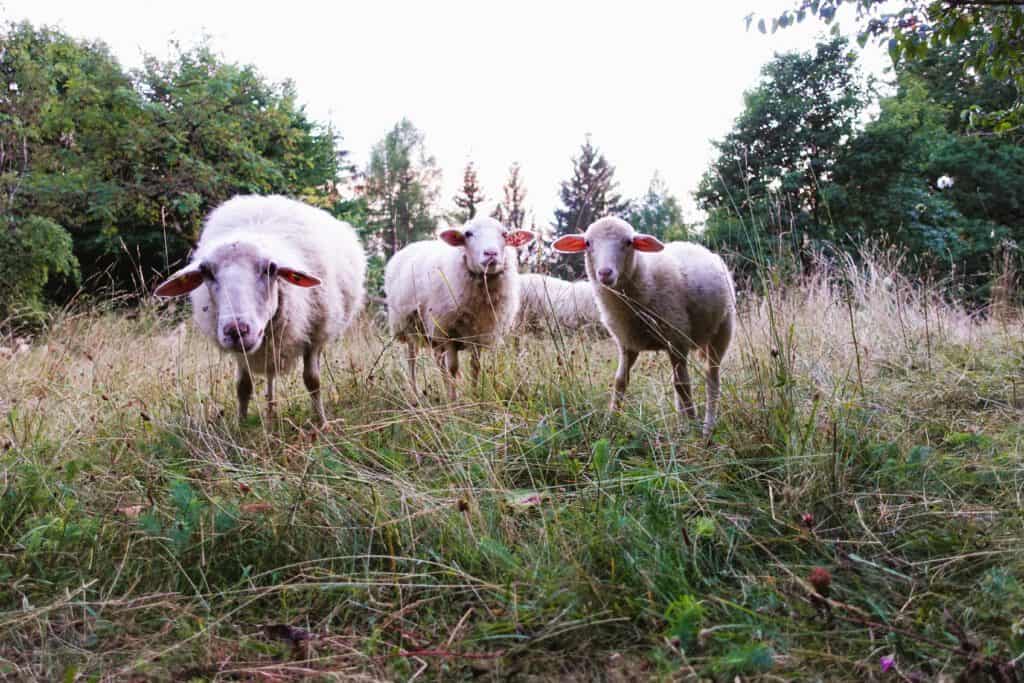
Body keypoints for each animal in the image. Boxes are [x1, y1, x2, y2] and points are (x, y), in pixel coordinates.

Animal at [155, 194, 368, 423]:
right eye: (206, 272)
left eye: (271, 269)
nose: (236, 330)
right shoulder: (243, 354)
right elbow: (243, 387)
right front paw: (241, 424)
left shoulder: (314, 336)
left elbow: (312, 381)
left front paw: (322, 422)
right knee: (269, 375)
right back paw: (270, 409)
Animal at [385, 218, 536, 401]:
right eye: (468, 234)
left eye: (504, 234)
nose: (491, 253)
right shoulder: (449, 332)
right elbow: (453, 368)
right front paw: (454, 401)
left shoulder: (479, 334)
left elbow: (475, 366)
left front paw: (475, 396)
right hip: (408, 326)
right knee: (412, 359)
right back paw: (415, 394)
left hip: (433, 332)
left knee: (438, 361)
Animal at [552, 216, 737, 436]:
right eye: (588, 243)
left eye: (628, 242)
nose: (605, 273)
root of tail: (698, 247)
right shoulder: (627, 344)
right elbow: (620, 381)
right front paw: (610, 422)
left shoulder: (676, 339)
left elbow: (683, 385)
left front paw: (693, 426)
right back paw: (681, 425)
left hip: (722, 330)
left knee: (711, 378)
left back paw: (707, 426)